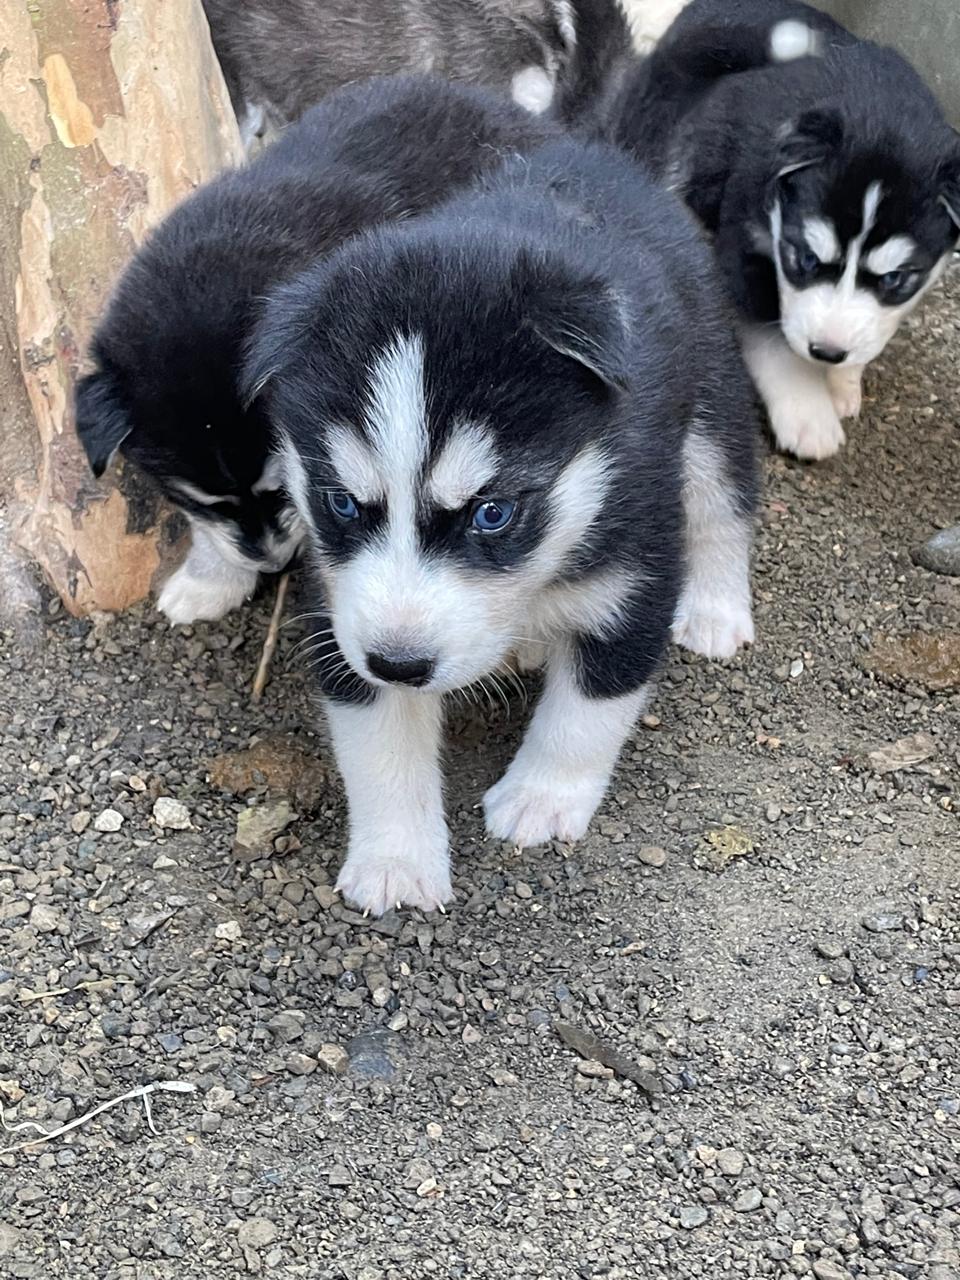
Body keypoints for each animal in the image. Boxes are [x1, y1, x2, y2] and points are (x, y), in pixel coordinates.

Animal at [241, 137, 757, 921]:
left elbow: (588, 709)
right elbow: (380, 747)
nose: (400, 663)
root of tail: (596, 155)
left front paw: (541, 798)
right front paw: (396, 860)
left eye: (493, 512)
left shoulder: (636, 573)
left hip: (711, 397)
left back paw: (716, 610)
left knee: (723, 501)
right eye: (342, 504)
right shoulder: (339, 608)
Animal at [601, 0, 960, 460]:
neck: (878, 108)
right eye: (805, 259)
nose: (828, 351)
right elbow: (776, 345)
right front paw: (809, 414)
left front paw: (842, 380)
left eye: (895, 278)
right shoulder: (743, 249)